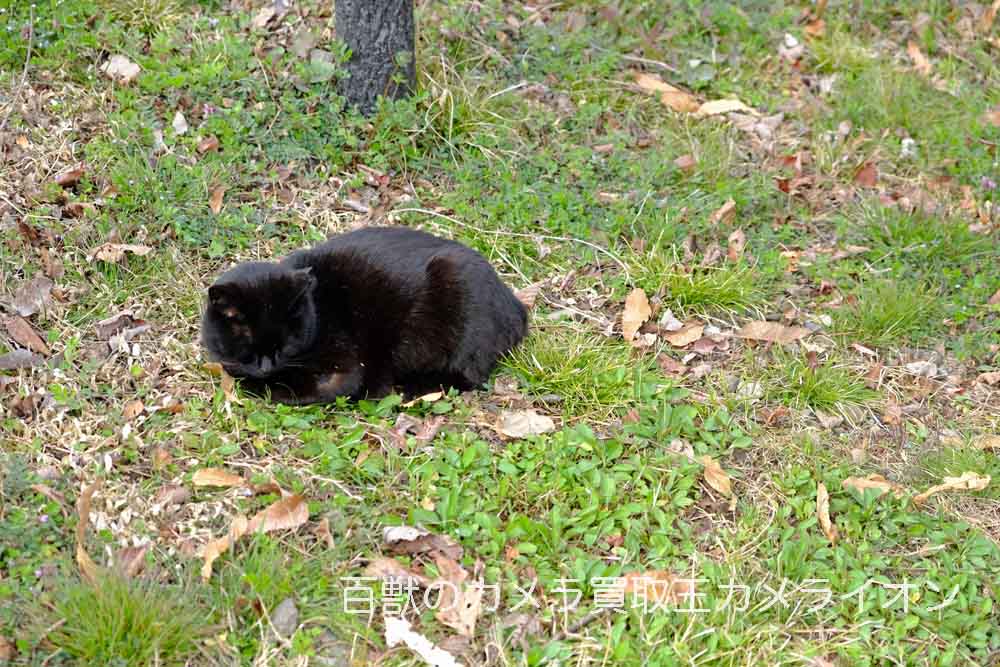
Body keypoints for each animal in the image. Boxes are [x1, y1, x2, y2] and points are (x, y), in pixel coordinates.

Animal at [199, 227, 528, 404]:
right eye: (248, 340)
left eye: (286, 343)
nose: (267, 365)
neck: (318, 310)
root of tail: (517, 305)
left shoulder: (343, 370)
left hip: (456, 284)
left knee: (467, 374)